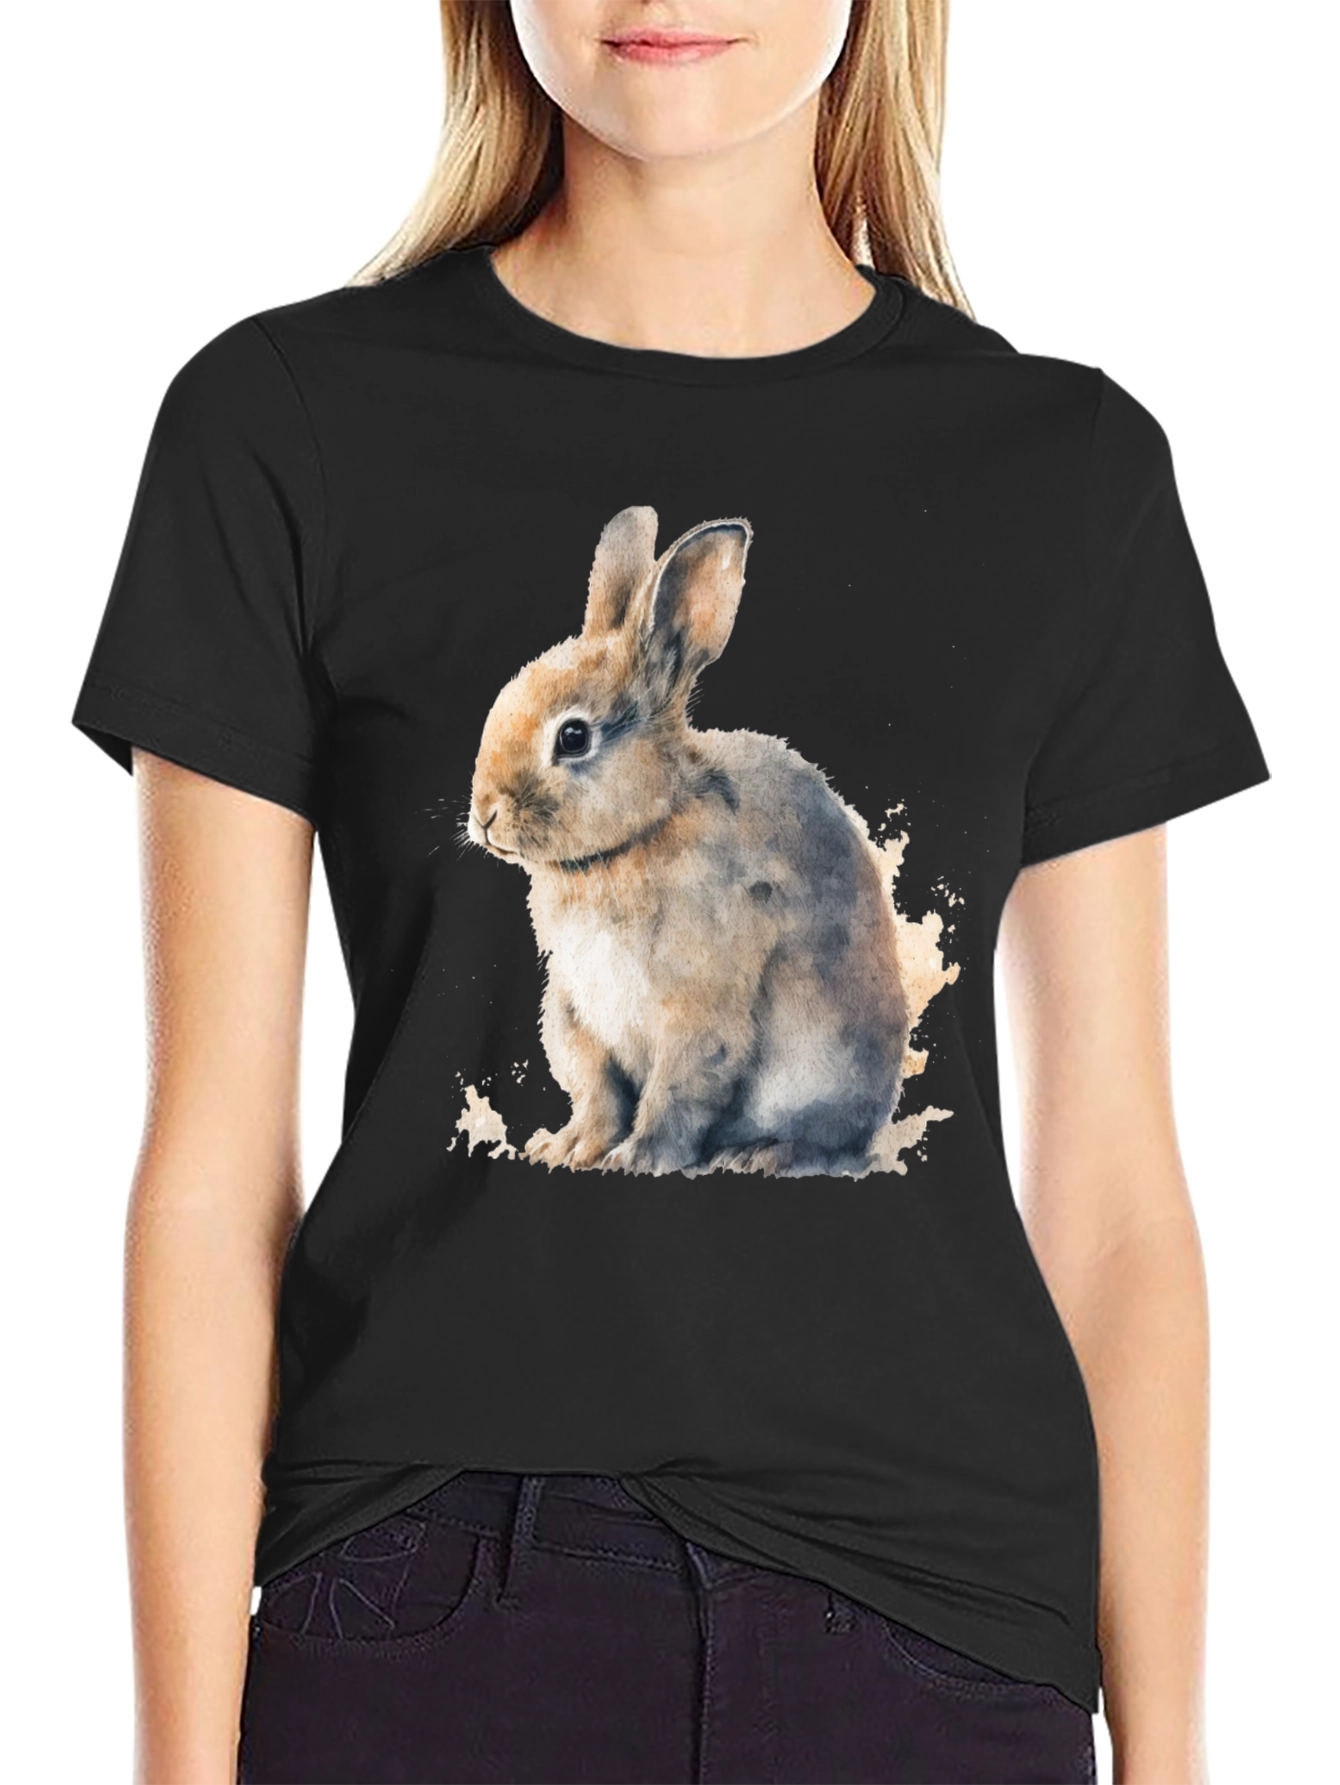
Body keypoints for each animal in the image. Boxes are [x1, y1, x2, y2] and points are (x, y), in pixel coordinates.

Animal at [467, 505, 910, 1177]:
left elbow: (677, 1091)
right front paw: (568, 1149)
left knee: (831, 1137)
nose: (485, 814)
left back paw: (762, 1154)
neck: (637, 835)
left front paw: (637, 1159)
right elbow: (597, 1094)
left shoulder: (699, 1013)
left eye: (573, 737)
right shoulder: (577, 1012)